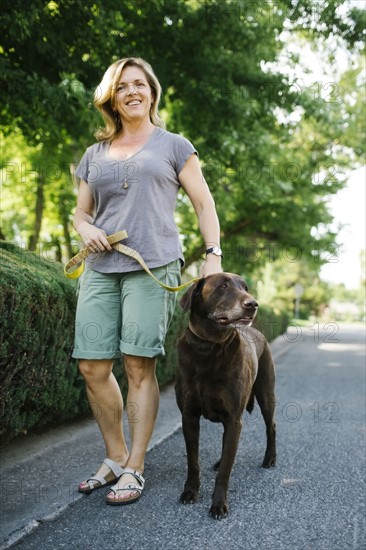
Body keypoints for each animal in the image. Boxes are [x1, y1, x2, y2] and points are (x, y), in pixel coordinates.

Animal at [176, 274, 276, 520]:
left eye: (245, 287)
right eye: (223, 286)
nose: (253, 304)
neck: (208, 348)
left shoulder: (233, 419)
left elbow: (225, 472)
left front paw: (218, 504)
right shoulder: (189, 417)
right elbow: (193, 461)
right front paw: (190, 491)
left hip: (266, 395)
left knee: (271, 426)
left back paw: (270, 459)